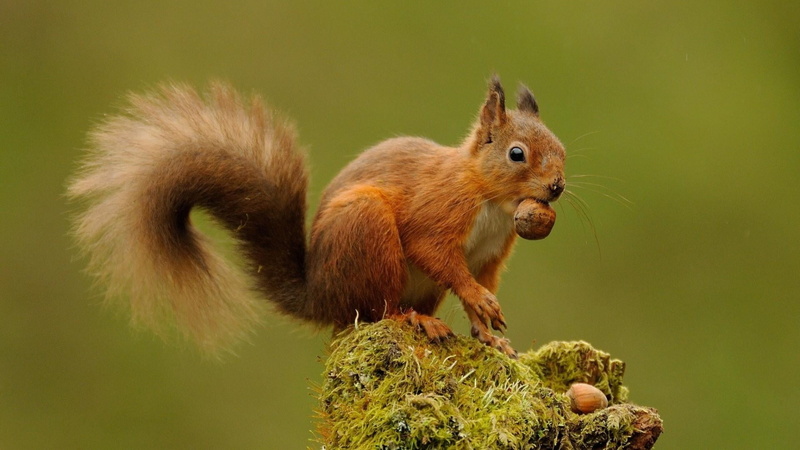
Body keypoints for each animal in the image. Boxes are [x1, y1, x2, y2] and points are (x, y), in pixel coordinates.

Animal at [68, 76, 566, 358]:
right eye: (516, 154)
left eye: (560, 147)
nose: (557, 186)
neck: (491, 200)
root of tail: (320, 295)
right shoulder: (439, 210)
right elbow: (436, 254)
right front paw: (481, 303)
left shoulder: (490, 255)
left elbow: (477, 285)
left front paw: (489, 333)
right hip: (367, 230)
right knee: (377, 309)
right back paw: (413, 320)